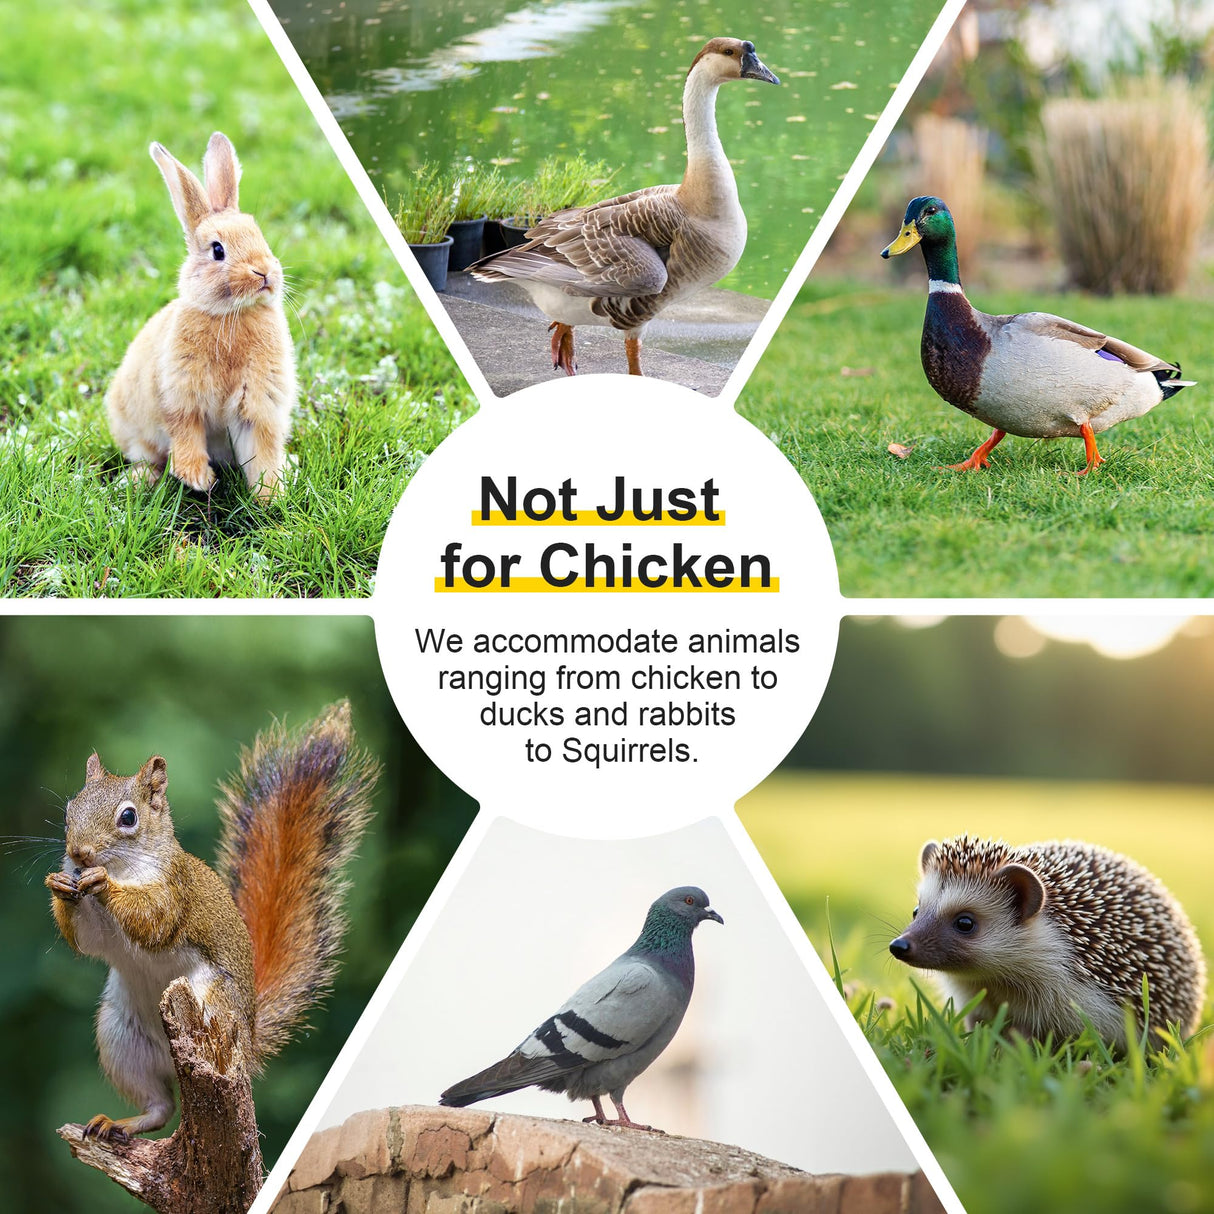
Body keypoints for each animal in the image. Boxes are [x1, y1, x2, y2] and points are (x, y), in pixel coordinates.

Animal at [105, 132, 296, 500]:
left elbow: (262, 449)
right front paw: (198, 479)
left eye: (259, 235)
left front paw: (270, 494)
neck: (232, 313)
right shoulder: (180, 396)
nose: (264, 271)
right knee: (148, 455)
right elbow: (185, 434)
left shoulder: (258, 405)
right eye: (217, 250)